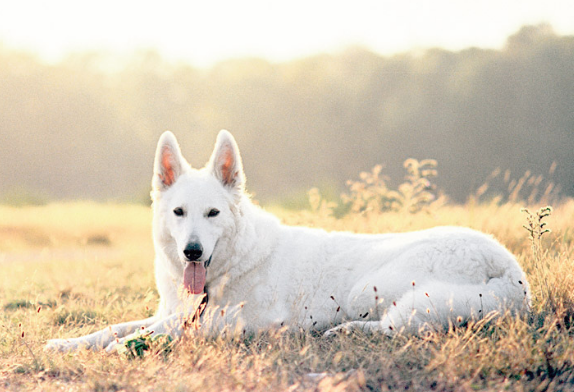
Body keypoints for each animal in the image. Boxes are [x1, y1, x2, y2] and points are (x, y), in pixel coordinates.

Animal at [47, 131, 532, 352]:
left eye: (213, 214)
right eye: (179, 213)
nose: (192, 252)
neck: (226, 270)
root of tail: (510, 269)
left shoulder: (229, 323)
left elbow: (150, 332)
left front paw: (122, 348)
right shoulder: (174, 311)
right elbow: (119, 325)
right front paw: (69, 343)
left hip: (372, 289)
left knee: (397, 326)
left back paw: (347, 330)